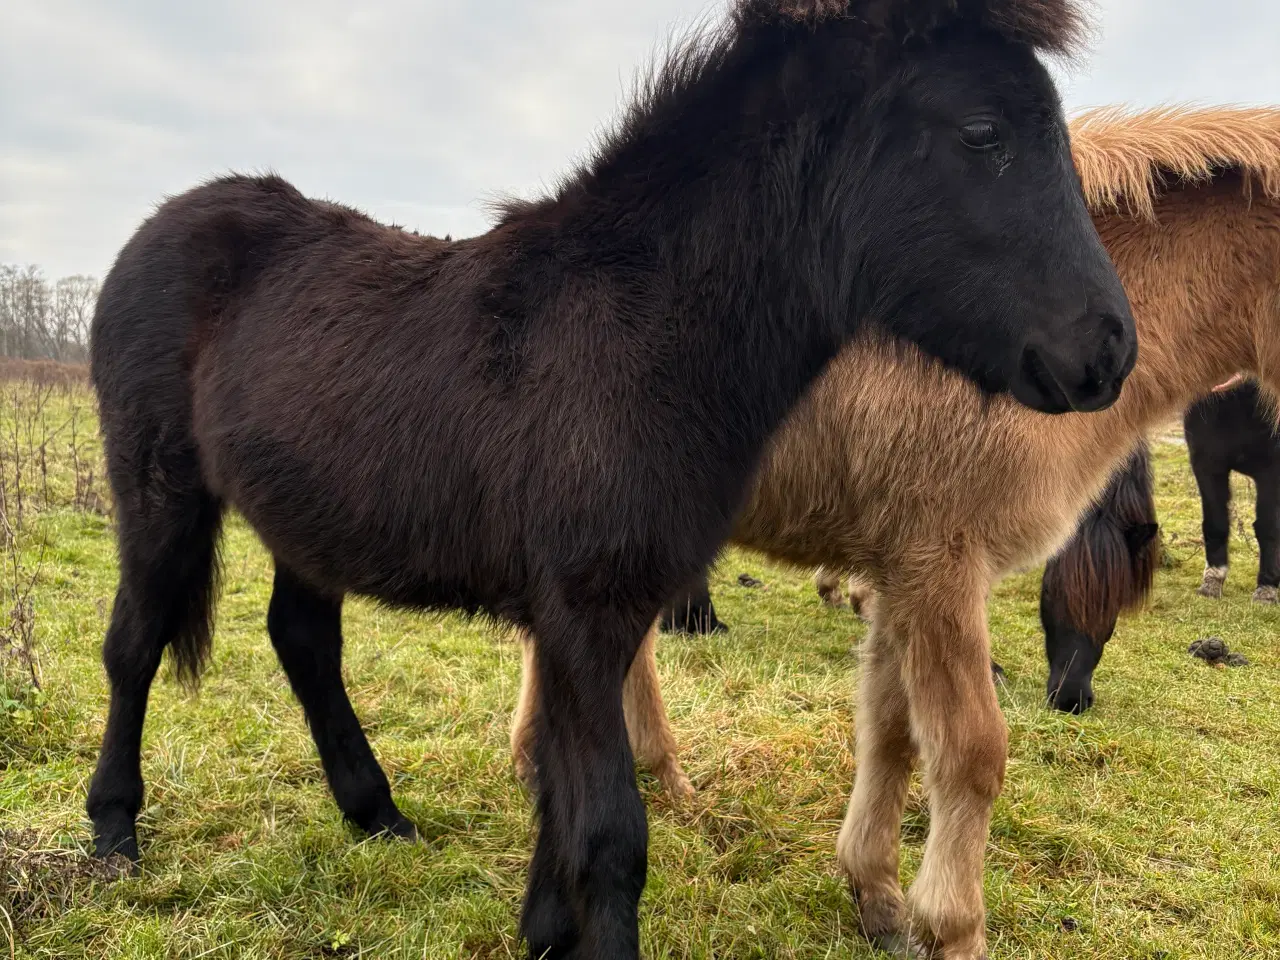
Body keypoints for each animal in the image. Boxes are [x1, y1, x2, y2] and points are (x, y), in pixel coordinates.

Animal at [87, 3, 1131, 957]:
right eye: (983, 132)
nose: (1110, 350)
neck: (638, 330)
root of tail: (165, 221)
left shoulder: (601, 620)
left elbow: (564, 811)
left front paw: (544, 936)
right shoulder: (584, 617)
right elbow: (610, 835)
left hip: (307, 515)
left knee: (303, 641)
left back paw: (376, 814)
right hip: (159, 491)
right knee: (136, 643)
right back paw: (114, 832)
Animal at [1182, 378, 1274, 604]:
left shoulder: (1272, 473)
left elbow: (1268, 528)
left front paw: (1266, 590)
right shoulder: (1207, 465)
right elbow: (1216, 523)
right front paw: (1212, 581)